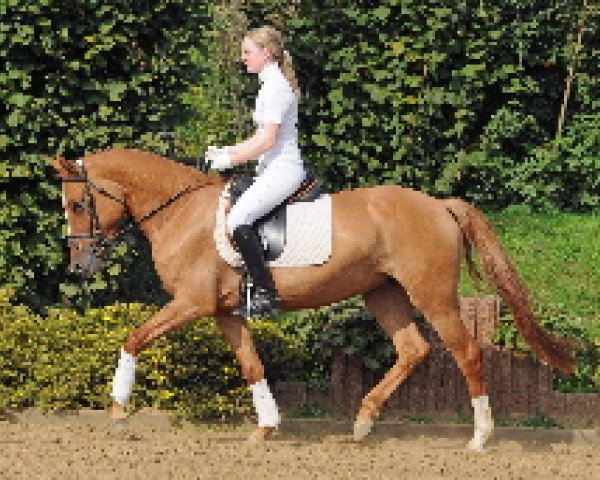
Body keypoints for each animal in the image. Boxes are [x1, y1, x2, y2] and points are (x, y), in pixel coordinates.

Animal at [52, 148, 576, 452]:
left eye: (78, 204)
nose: (79, 268)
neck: (181, 212)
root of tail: (439, 205)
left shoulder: (192, 303)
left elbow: (133, 338)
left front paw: (118, 412)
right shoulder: (224, 313)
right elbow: (252, 365)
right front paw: (266, 426)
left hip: (433, 296)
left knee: (464, 351)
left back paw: (480, 437)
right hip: (382, 292)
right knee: (413, 349)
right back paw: (362, 423)